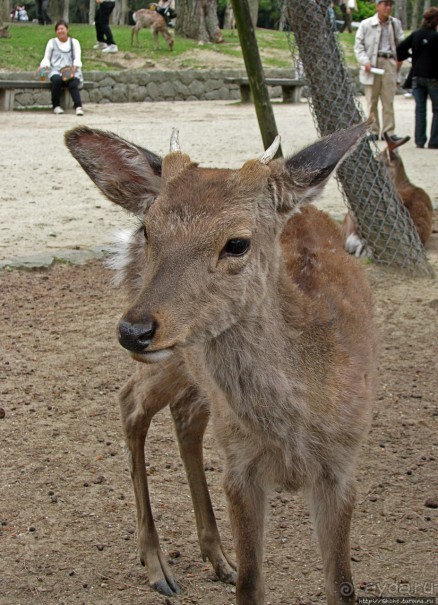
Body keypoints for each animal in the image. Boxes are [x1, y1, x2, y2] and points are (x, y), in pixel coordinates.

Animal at [66, 122, 378, 604]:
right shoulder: (239, 469)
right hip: (174, 364)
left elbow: (341, 585)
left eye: (237, 243)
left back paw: (216, 557)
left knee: (181, 417)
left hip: (195, 378)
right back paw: (157, 565)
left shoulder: (343, 467)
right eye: (148, 230)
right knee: (130, 402)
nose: (134, 331)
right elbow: (251, 584)